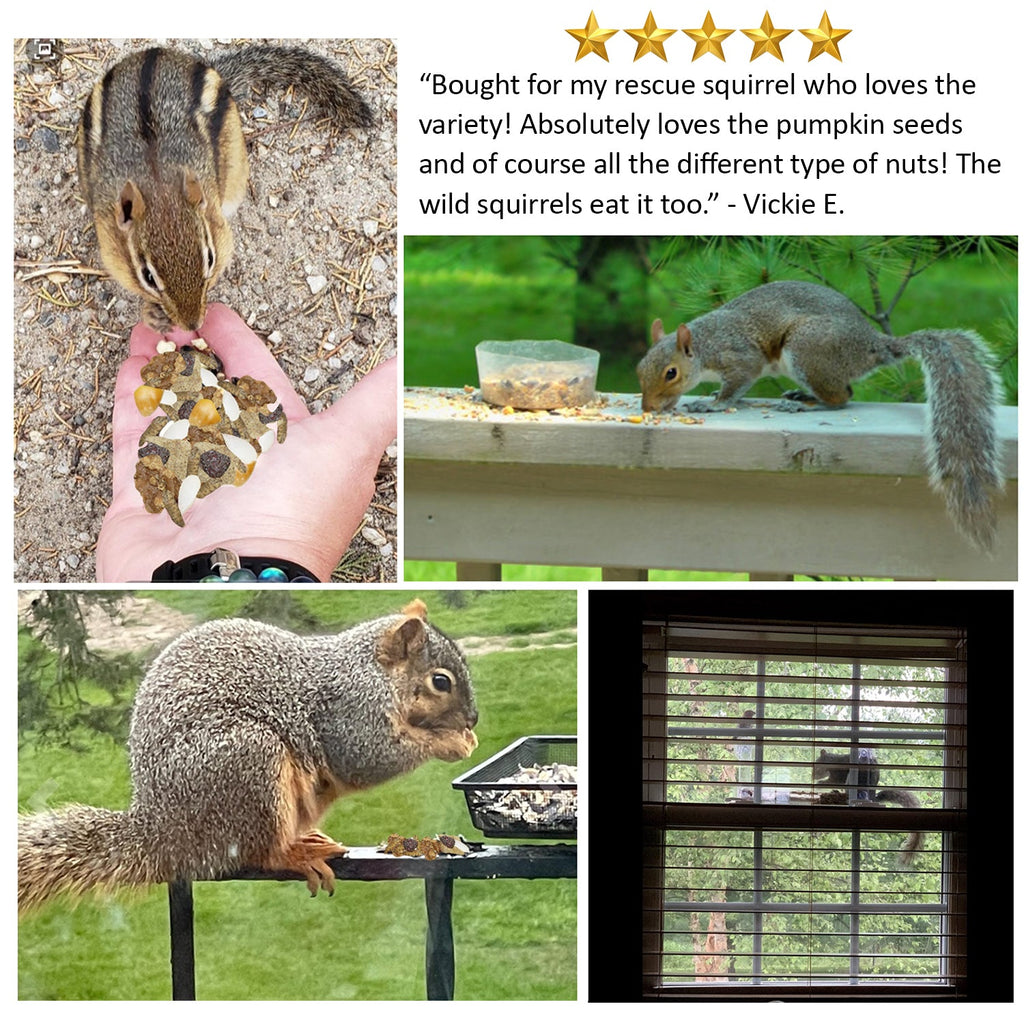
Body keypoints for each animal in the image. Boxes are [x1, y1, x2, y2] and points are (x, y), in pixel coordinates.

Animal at [18, 599, 478, 912]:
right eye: (440, 681)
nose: (474, 717)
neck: (373, 672)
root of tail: (164, 831)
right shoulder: (349, 713)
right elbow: (368, 756)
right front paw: (453, 742)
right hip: (250, 764)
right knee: (259, 853)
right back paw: (297, 855)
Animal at [77, 44, 372, 332]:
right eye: (148, 276)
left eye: (209, 258)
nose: (193, 325)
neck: (157, 180)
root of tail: (154, 54)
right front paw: (151, 315)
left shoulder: (220, 231)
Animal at [636, 281, 1004, 550]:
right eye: (639, 368)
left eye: (671, 373)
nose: (648, 408)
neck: (706, 345)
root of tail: (872, 346)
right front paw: (711, 397)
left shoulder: (741, 358)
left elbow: (738, 383)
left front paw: (712, 403)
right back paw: (803, 396)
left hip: (807, 349)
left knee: (842, 398)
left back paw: (807, 404)